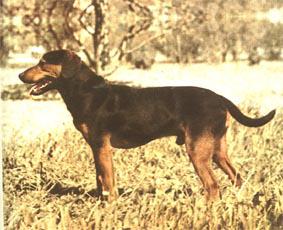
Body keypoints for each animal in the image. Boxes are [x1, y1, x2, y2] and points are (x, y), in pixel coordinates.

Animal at [18, 49, 276, 201]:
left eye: (43, 63)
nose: (20, 76)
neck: (86, 91)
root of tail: (220, 98)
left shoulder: (102, 146)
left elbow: (108, 180)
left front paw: (109, 206)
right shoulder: (96, 148)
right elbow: (101, 179)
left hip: (198, 151)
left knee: (213, 186)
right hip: (217, 150)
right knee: (237, 177)